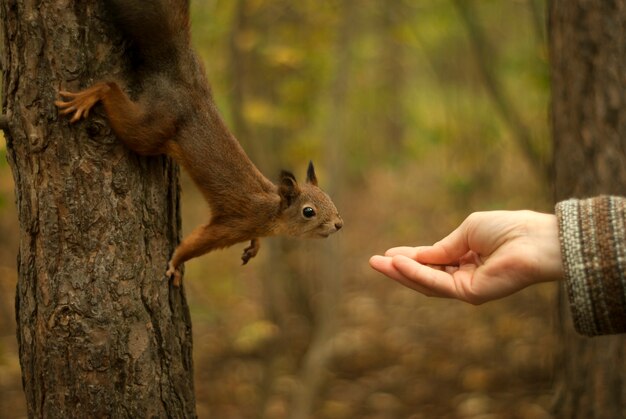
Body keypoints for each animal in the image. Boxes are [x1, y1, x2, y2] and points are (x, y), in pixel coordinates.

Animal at [54, 0, 342, 288]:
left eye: (329, 198)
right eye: (308, 211)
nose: (339, 224)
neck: (272, 211)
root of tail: (179, 78)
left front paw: (255, 246)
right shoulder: (236, 223)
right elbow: (196, 243)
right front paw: (176, 263)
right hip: (152, 128)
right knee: (113, 93)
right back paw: (91, 95)